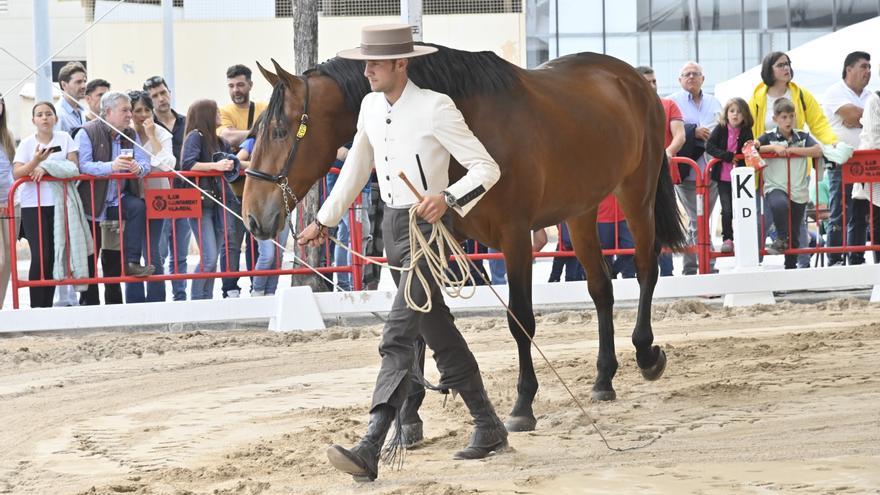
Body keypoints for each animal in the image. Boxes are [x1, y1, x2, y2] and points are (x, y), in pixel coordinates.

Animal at [241, 47, 688, 434]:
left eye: (279, 130)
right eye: (256, 131)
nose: (253, 217)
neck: (468, 123)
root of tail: (633, 80)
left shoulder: (515, 236)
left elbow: (520, 319)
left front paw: (523, 405)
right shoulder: (436, 233)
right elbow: (423, 323)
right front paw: (409, 417)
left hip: (636, 192)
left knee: (646, 268)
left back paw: (646, 354)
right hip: (581, 209)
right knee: (600, 288)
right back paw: (603, 378)